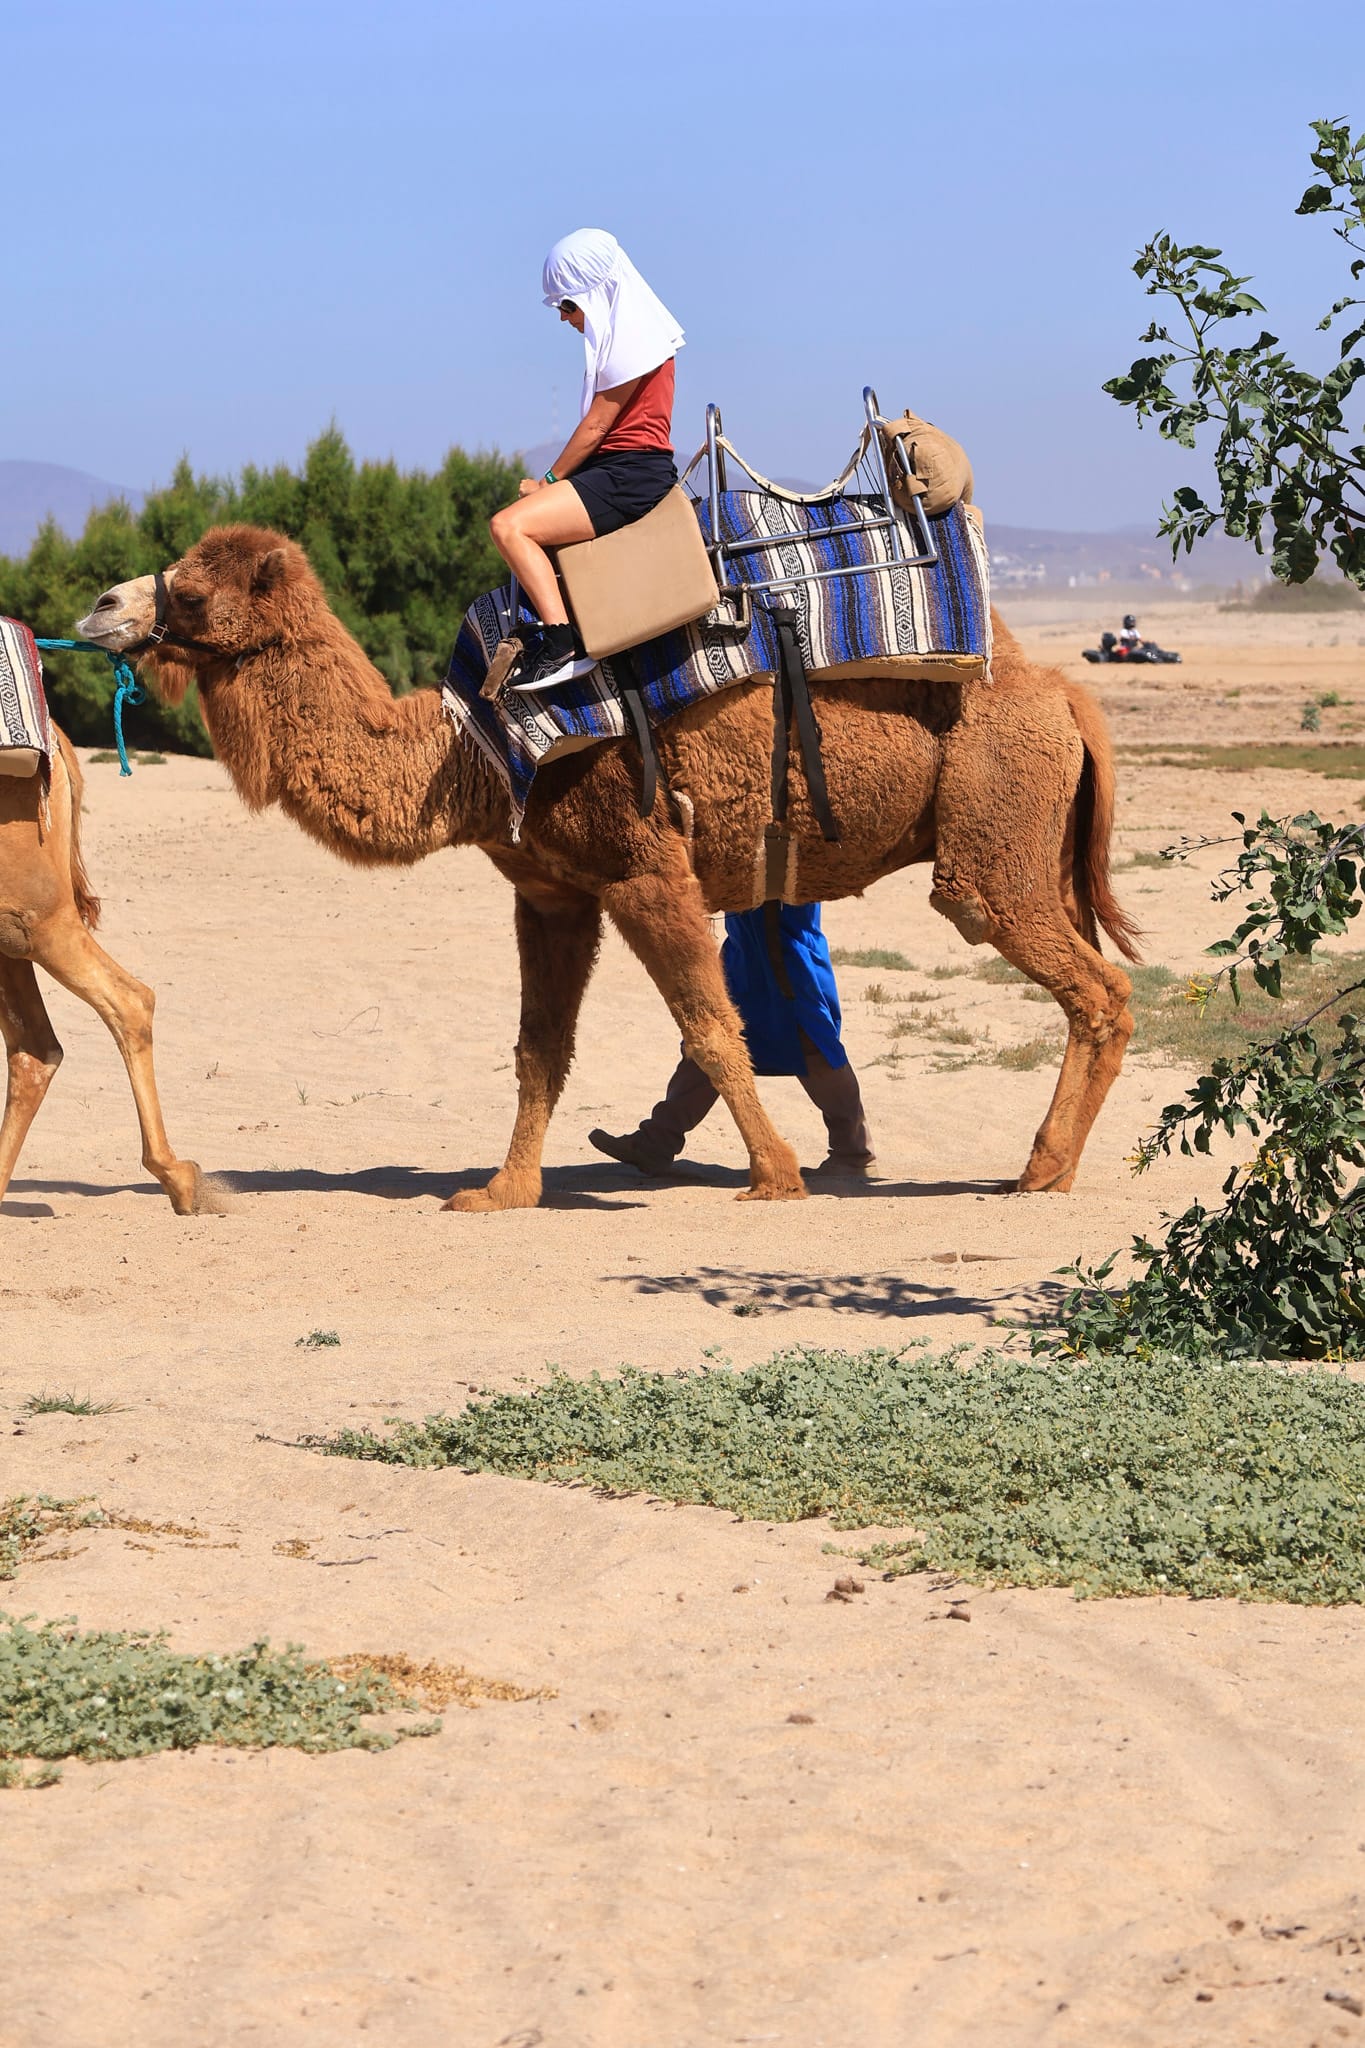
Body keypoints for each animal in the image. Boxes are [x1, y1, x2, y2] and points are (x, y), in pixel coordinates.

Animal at [0, 733, 203, 1213]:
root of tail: (58, 743)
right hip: (13, 929)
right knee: (34, 1049)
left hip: (35, 914)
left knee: (128, 1000)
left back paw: (181, 1179)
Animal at [76, 524, 1140, 1211]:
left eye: (192, 591)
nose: (99, 605)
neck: (466, 752)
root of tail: (1065, 696)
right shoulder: (552, 894)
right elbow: (537, 1047)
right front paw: (499, 1191)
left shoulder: (643, 867)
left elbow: (711, 1025)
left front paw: (774, 1177)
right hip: (1035, 842)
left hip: (990, 840)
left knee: (1089, 983)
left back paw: (1038, 1172)